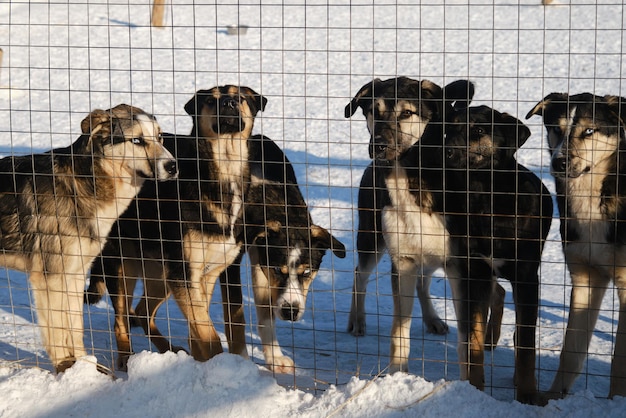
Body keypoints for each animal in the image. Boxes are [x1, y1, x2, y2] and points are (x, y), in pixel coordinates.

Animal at [0, 105, 178, 372]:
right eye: (136, 140)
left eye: (160, 137)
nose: (173, 166)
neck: (81, 186)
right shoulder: (49, 278)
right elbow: (57, 330)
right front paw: (65, 368)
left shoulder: (75, 272)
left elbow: (75, 327)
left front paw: (85, 366)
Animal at [84, 84, 264, 370]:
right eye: (210, 99)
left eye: (241, 96)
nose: (228, 103)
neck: (222, 172)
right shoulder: (184, 274)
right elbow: (208, 334)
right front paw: (220, 367)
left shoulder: (205, 274)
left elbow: (198, 330)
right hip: (123, 267)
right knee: (122, 320)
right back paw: (126, 361)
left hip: (160, 274)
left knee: (142, 313)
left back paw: (169, 351)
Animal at [444, 106, 552, 404]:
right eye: (451, 127)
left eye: (480, 130)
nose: (446, 151)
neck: (486, 197)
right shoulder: (476, 272)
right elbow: (473, 338)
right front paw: (474, 389)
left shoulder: (527, 278)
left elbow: (526, 344)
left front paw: (527, 395)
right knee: (497, 296)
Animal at [524, 93, 624, 400]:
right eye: (555, 129)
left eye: (589, 130)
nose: (559, 163)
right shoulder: (586, 275)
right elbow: (570, 351)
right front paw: (554, 398)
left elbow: (620, 360)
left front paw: (616, 401)